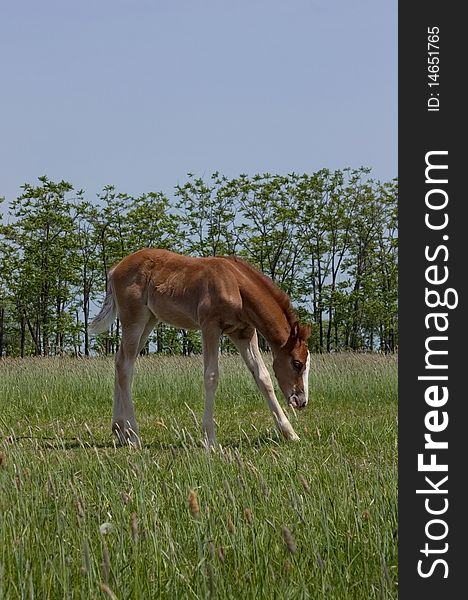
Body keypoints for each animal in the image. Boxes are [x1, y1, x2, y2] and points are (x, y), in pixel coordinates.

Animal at [91, 248, 310, 446]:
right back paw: (134, 436)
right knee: (125, 366)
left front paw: (291, 433)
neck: (236, 285)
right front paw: (210, 438)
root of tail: (116, 268)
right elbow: (211, 376)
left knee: (120, 361)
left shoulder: (244, 333)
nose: (301, 401)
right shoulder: (210, 326)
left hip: (149, 320)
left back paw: (120, 431)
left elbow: (263, 376)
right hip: (134, 319)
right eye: (297, 363)